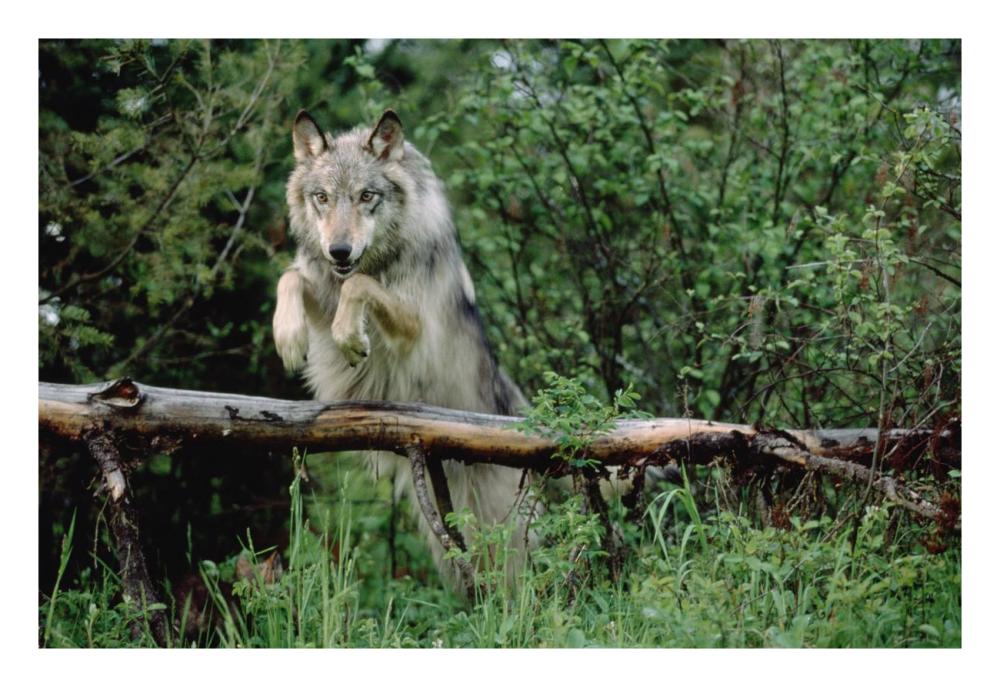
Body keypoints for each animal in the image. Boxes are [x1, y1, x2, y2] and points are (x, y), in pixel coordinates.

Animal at [272, 109, 534, 589]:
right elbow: (292, 276)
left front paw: (352, 336)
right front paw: (289, 335)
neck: (380, 257)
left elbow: (358, 284)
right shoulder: (321, 286)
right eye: (322, 198)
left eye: (366, 196)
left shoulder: (412, 327)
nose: (339, 250)